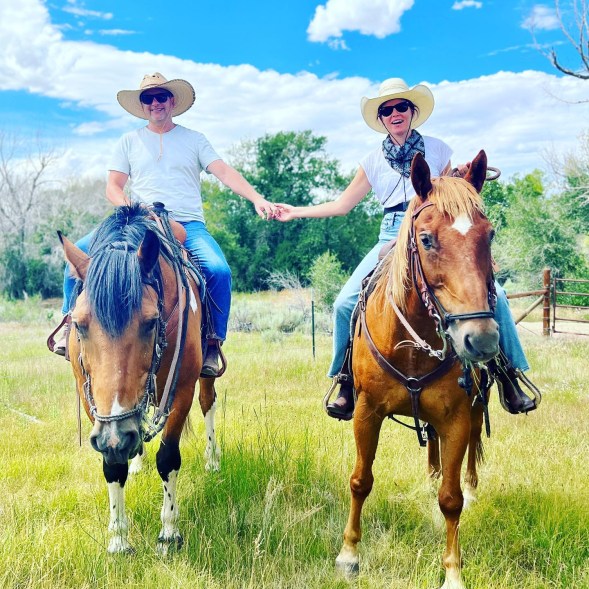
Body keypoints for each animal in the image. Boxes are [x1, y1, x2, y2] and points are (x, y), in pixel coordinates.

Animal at [59, 202, 220, 552]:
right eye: (78, 324)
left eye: (150, 322)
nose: (119, 437)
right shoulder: (90, 398)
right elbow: (111, 461)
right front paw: (119, 538)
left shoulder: (181, 389)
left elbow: (168, 457)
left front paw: (169, 532)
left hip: (204, 376)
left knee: (208, 403)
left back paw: (213, 460)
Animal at [334, 152, 498, 588]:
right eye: (426, 239)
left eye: (489, 235)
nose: (481, 339)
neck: (414, 344)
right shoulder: (366, 412)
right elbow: (360, 480)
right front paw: (349, 554)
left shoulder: (456, 417)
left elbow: (451, 499)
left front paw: (453, 572)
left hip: (474, 409)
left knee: (468, 453)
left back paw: (470, 489)